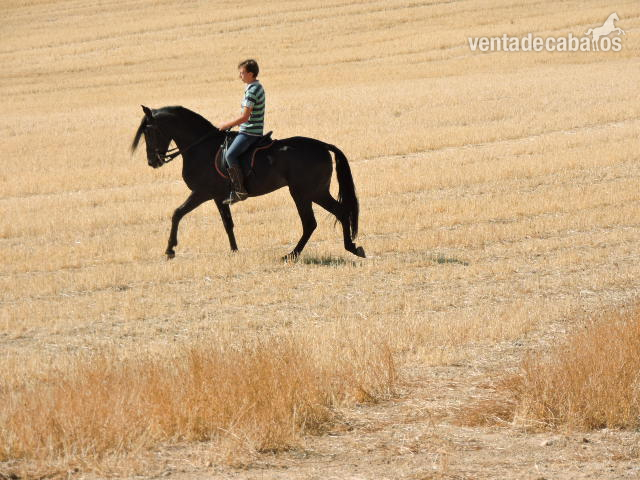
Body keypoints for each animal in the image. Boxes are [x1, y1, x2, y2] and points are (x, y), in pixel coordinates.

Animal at [130, 105, 366, 261]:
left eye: (148, 131)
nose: (152, 161)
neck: (200, 146)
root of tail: (322, 145)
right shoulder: (219, 197)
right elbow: (228, 224)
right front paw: (235, 250)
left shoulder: (201, 192)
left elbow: (177, 213)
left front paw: (170, 250)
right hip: (315, 192)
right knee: (338, 213)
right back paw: (352, 248)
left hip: (304, 193)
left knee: (313, 222)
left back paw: (292, 254)